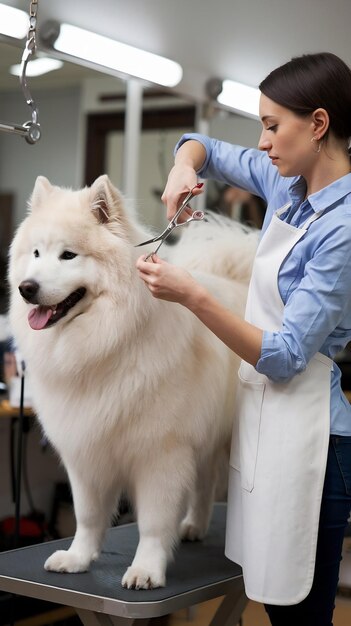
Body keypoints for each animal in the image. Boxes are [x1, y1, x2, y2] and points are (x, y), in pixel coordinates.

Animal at [8, 173, 258, 588]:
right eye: (37, 254)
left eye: (68, 256)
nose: (26, 288)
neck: (107, 343)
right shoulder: (86, 453)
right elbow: (88, 516)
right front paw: (78, 559)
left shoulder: (161, 454)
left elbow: (154, 524)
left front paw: (146, 571)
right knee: (206, 481)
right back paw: (194, 526)